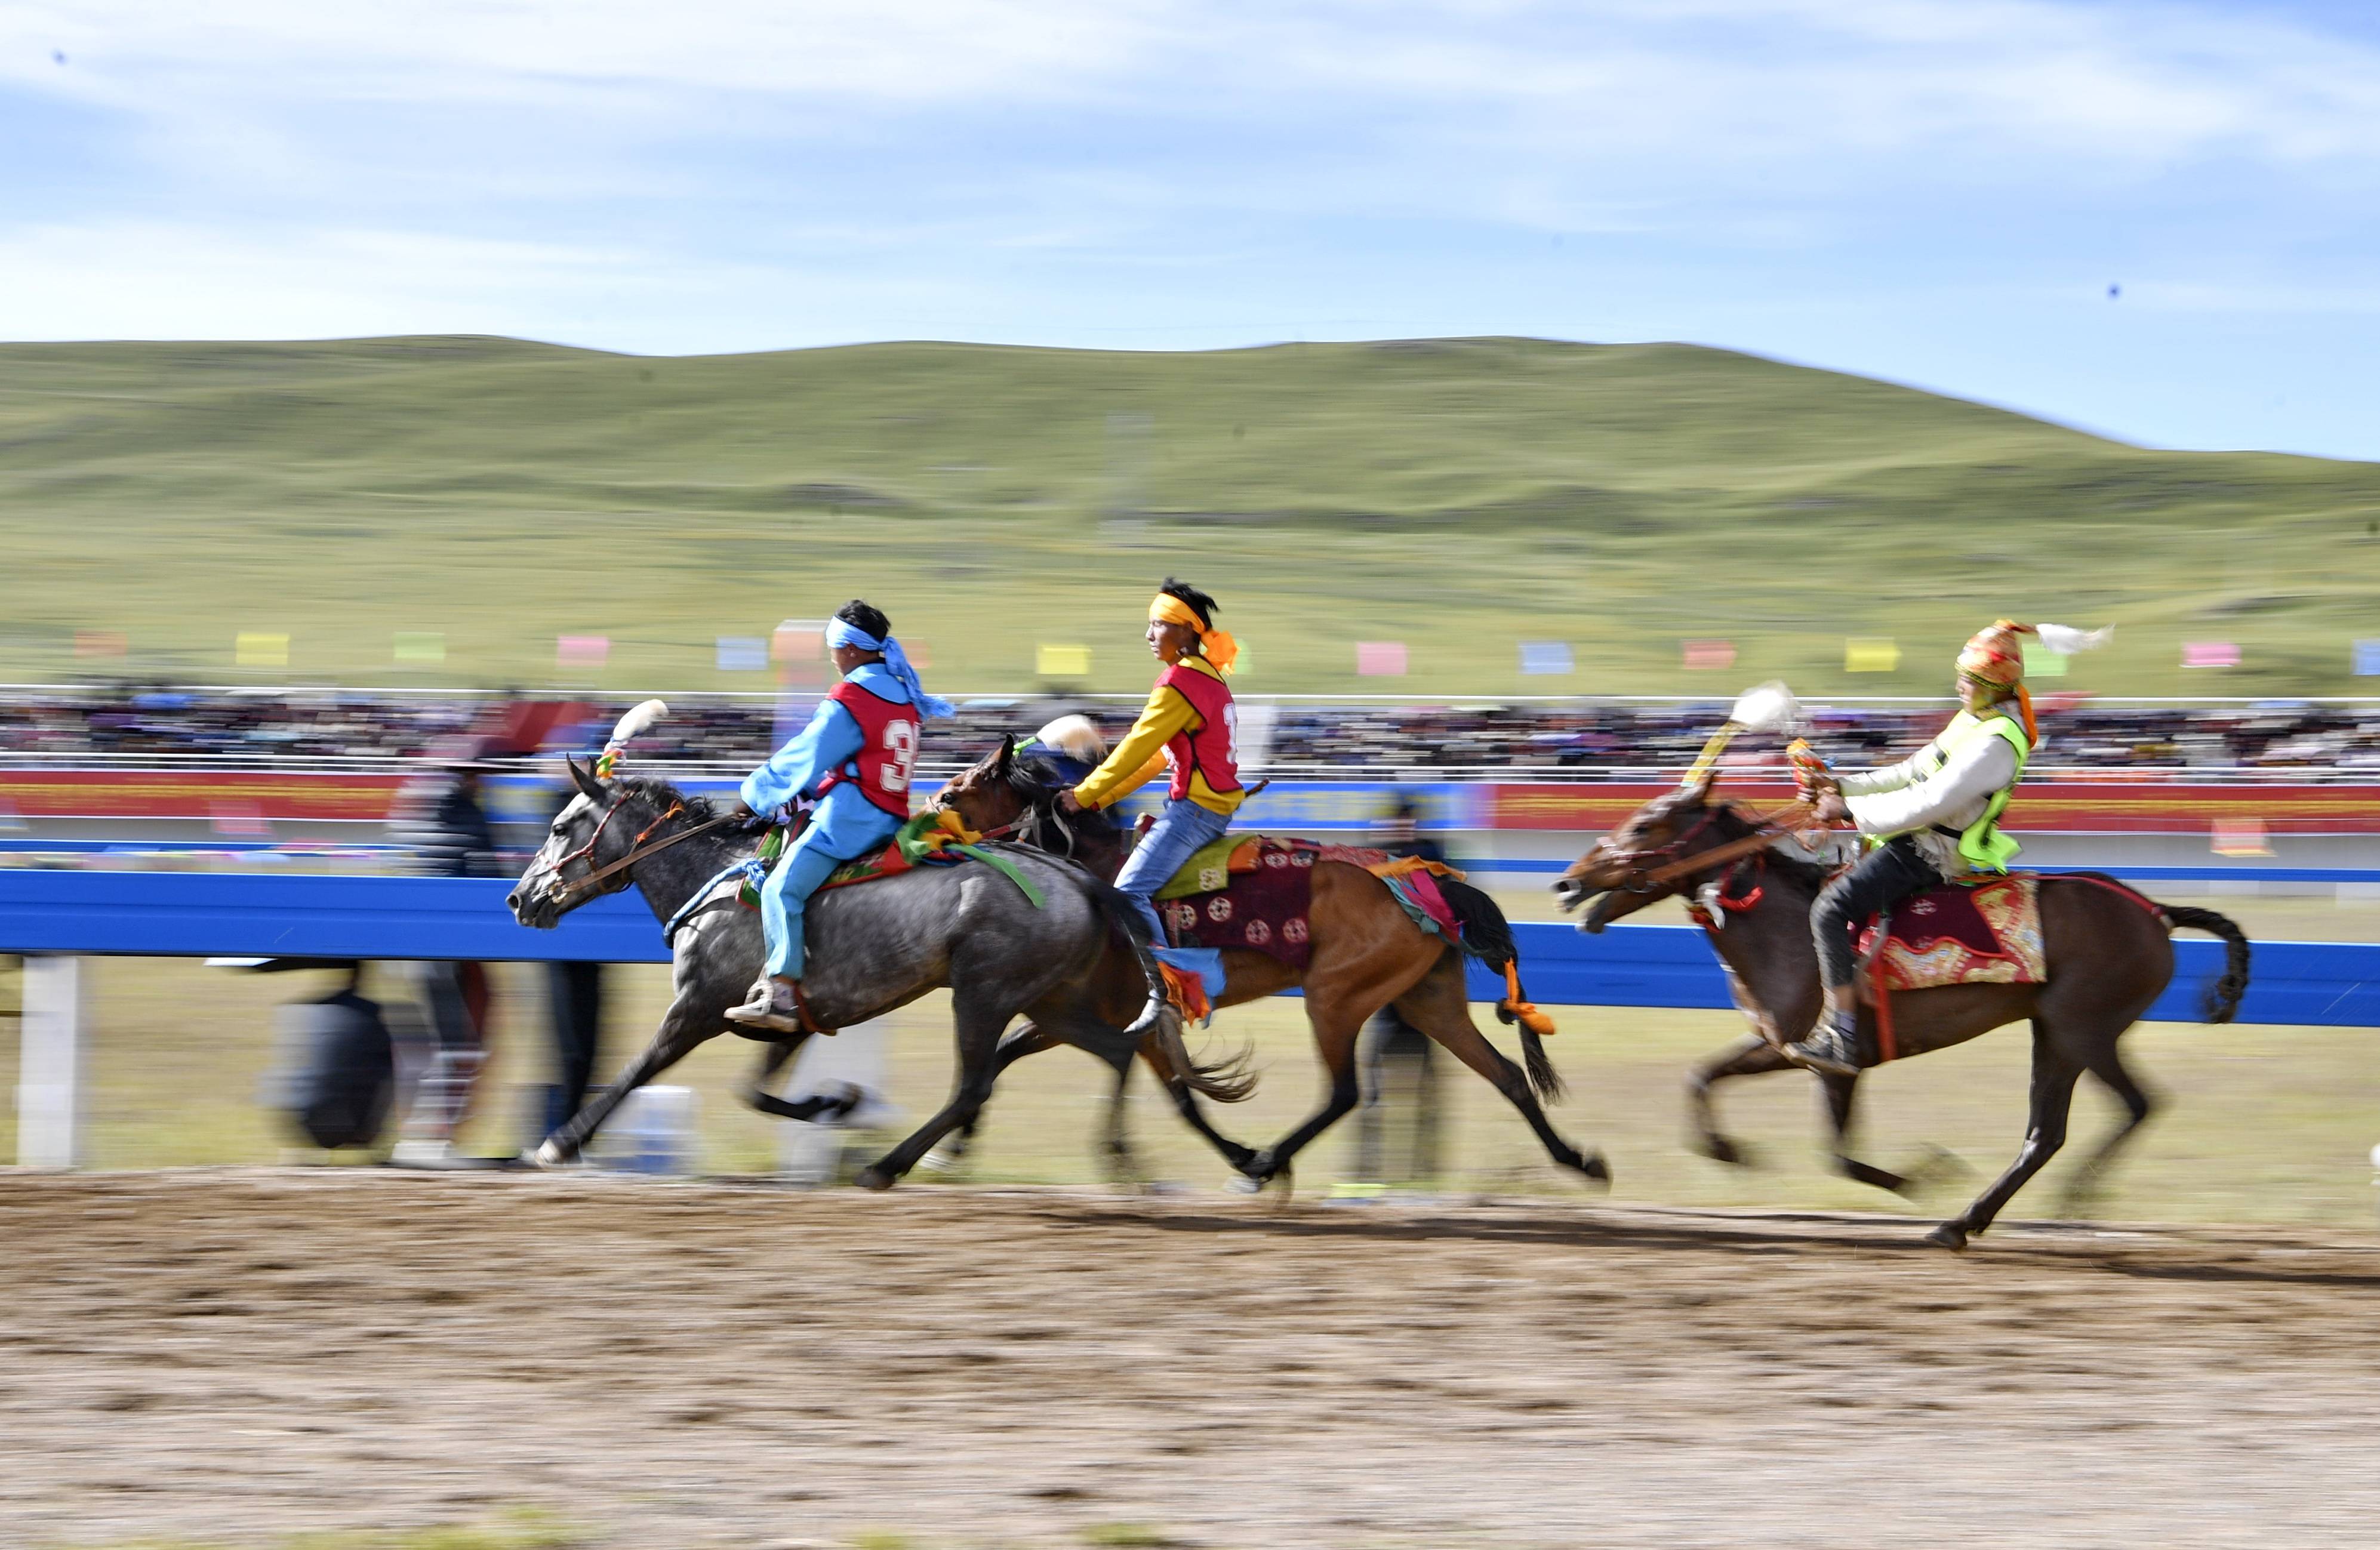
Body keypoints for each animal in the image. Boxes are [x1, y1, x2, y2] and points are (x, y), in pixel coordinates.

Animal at [509, 762, 1237, 1190]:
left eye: (559, 825)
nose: (519, 898)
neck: (713, 875)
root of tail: (1084, 880)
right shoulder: (793, 1019)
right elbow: (757, 1091)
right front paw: (834, 1104)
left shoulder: (696, 1007)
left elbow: (637, 1070)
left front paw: (560, 1142)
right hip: (1051, 1000)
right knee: (1117, 1048)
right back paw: (1127, 1158)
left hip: (984, 994)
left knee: (974, 1086)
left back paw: (888, 1166)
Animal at [937, 733, 1609, 1195]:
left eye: (954, 791)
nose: (930, 817)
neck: (1095, 878)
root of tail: (1427, 880)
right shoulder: (1082, 1011)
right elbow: (1006, 1054)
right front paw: (955, 1148)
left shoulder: (1128, 1013)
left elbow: (1180, 1097)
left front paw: (1216, 1157)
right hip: (1426, 1000)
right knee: (1508, 1075)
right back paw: (1579, 1159)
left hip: (1335, 997)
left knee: (1345, 1092)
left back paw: (1263, 1165)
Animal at [1542, 781, 2246, 1257]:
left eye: (1644, 825)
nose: (1567, 883)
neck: (1783, 929)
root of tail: (2154, 909)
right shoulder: (1784, 1045)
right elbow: (1700, 1076)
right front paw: (1729, 1150)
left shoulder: (1836, 1061)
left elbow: (1838, 1156)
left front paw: (1924, 1173)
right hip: (2052, 1031)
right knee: (2047, 1133)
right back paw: (1966, 1221)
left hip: (2084, 1030)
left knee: (2134, 1105)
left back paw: (2064, 1201)